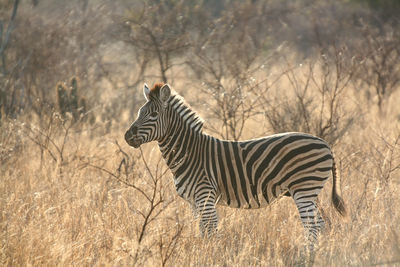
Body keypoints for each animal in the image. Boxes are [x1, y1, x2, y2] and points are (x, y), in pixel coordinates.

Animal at [125, 83, 346, 247]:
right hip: (308, 192)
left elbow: (211, 232)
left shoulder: (206, 196)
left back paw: (307, 255)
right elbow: (201, 232)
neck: (189, 153)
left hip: (304, 189)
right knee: (321, 225)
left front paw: (211, 256)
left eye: (153, 115)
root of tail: (326, 144)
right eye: (139, 113)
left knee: (313, 227)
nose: (127, 136)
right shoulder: (194, 202)